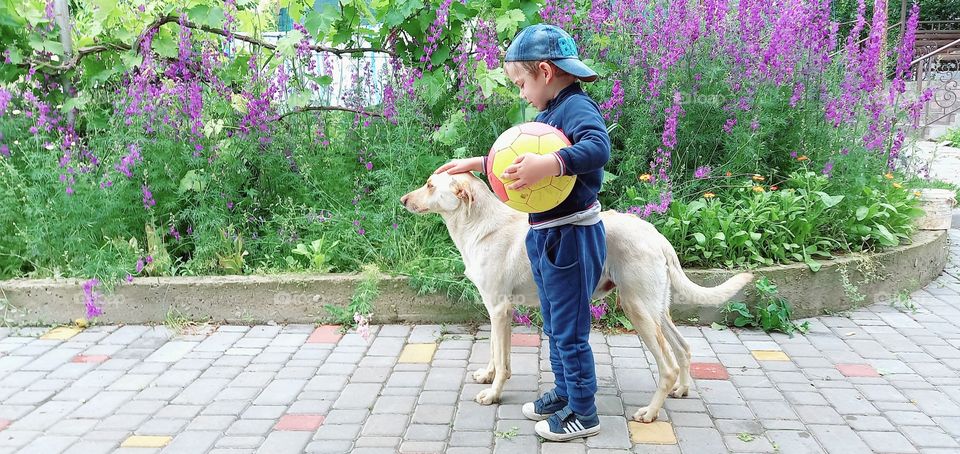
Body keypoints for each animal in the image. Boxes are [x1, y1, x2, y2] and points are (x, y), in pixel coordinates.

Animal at [398, 171, 752, 422]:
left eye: (430, 185)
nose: (402, 199)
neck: (479, 226)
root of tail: (656, 235)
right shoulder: (495, 309)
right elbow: (495, 353)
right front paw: (487, 375)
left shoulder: (499, 308)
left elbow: (503, 361)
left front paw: (494, 393)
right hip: (656, 310)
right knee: (684, 347)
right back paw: (682, 389)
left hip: (638, 310)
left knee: (667, 366)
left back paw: (650, 412)